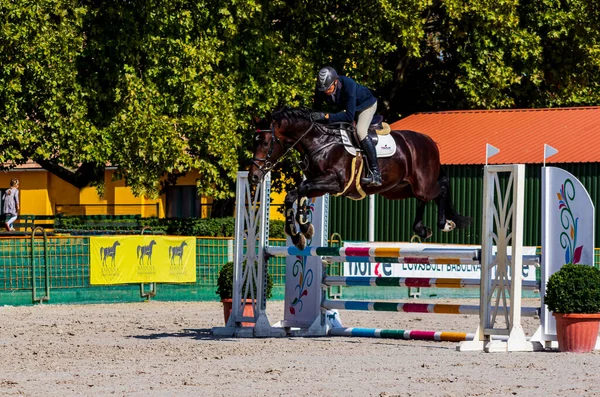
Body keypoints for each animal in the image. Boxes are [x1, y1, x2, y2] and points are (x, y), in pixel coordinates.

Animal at [248, 105, 468, 248]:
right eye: (254, 141)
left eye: (266, 143)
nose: (253, 177)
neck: (320, 141)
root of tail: (430, 141)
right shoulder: (318, 185)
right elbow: (294, 194)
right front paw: (301, 232)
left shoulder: (335, 183)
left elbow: (299, 191)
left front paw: (302, 230)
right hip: (399, 189)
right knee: (424, 198)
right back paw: (422, 228)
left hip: (422, 184)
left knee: (441, 188)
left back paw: (445, 223)